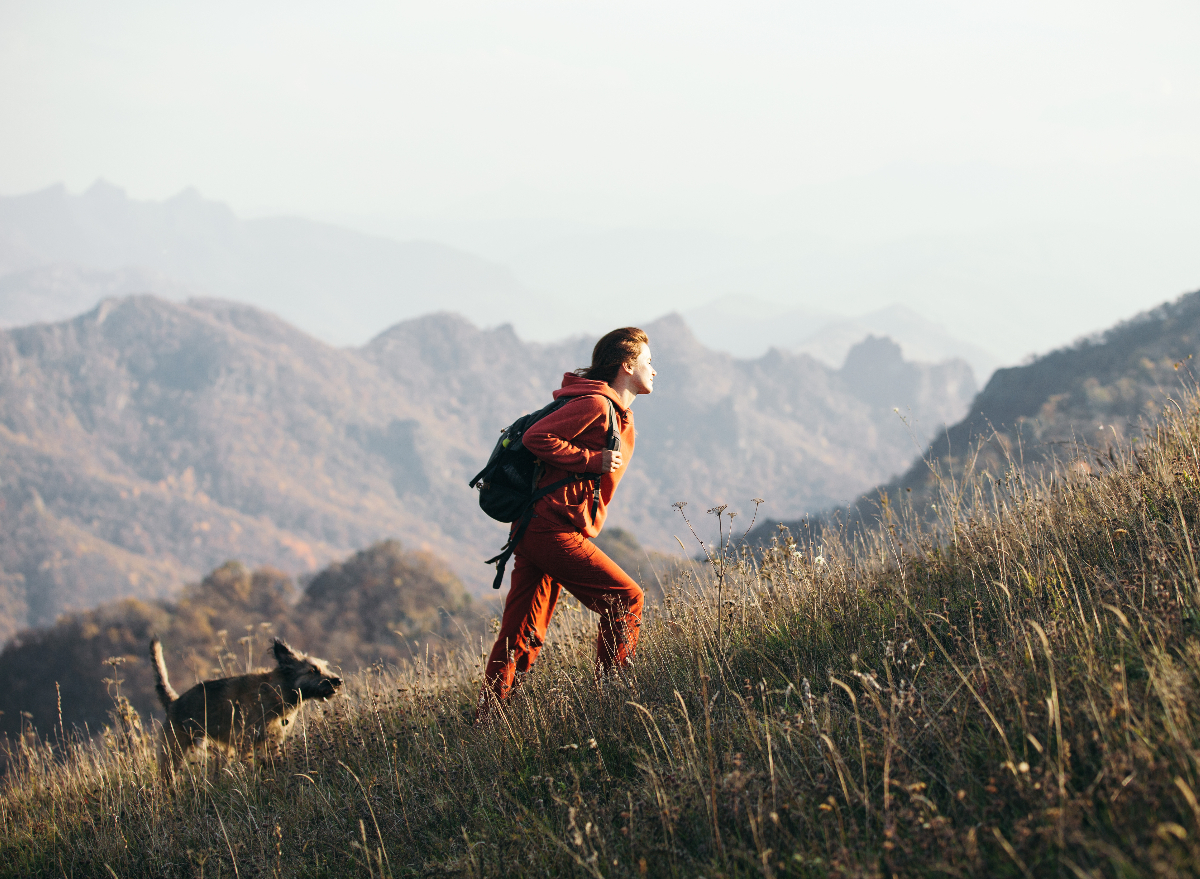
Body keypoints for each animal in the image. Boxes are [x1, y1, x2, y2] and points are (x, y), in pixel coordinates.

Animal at [148, 638, 343, 778]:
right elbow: (250, 765)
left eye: (323, 667)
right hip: (173, 754)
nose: (338, 681)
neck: (277, 690)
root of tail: (173, 702)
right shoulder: (245, 743)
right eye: (313, 670)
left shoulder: (272, 742)